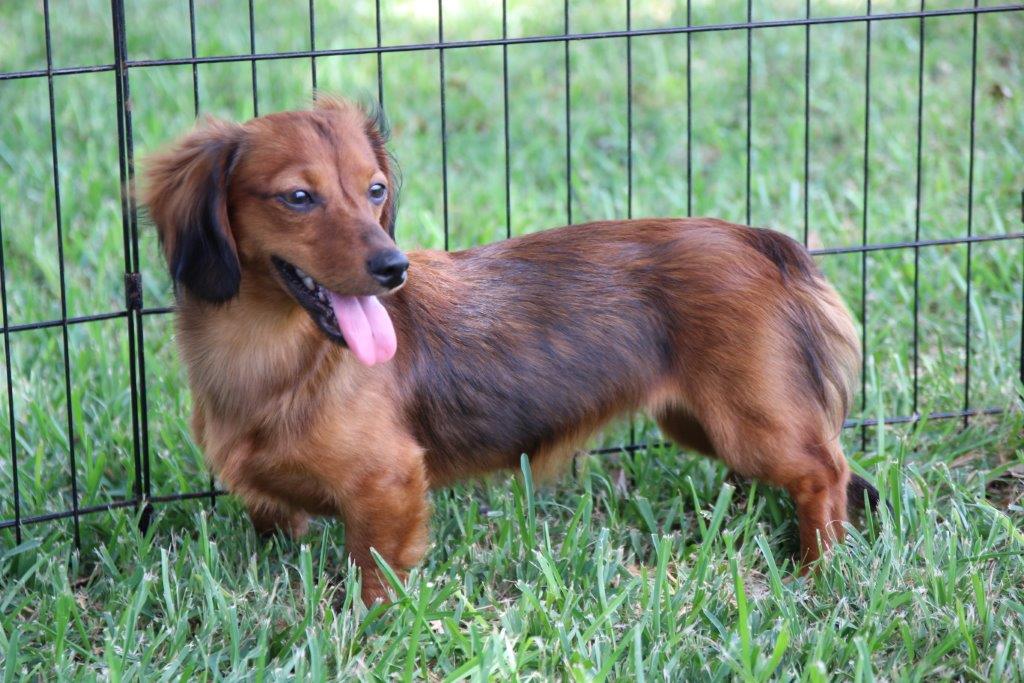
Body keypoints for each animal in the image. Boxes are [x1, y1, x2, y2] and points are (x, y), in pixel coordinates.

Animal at [142, 94, 880, 602]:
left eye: (375, 190)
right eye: (298, 197)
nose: (394, 268)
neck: (278, 355)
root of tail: (754, 237)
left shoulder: (387, 483)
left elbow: (374, 569)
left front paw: (365, 622)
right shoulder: (273, 506)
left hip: (749, 422)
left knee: (825, 470)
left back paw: (819, 564)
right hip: (696, 420)